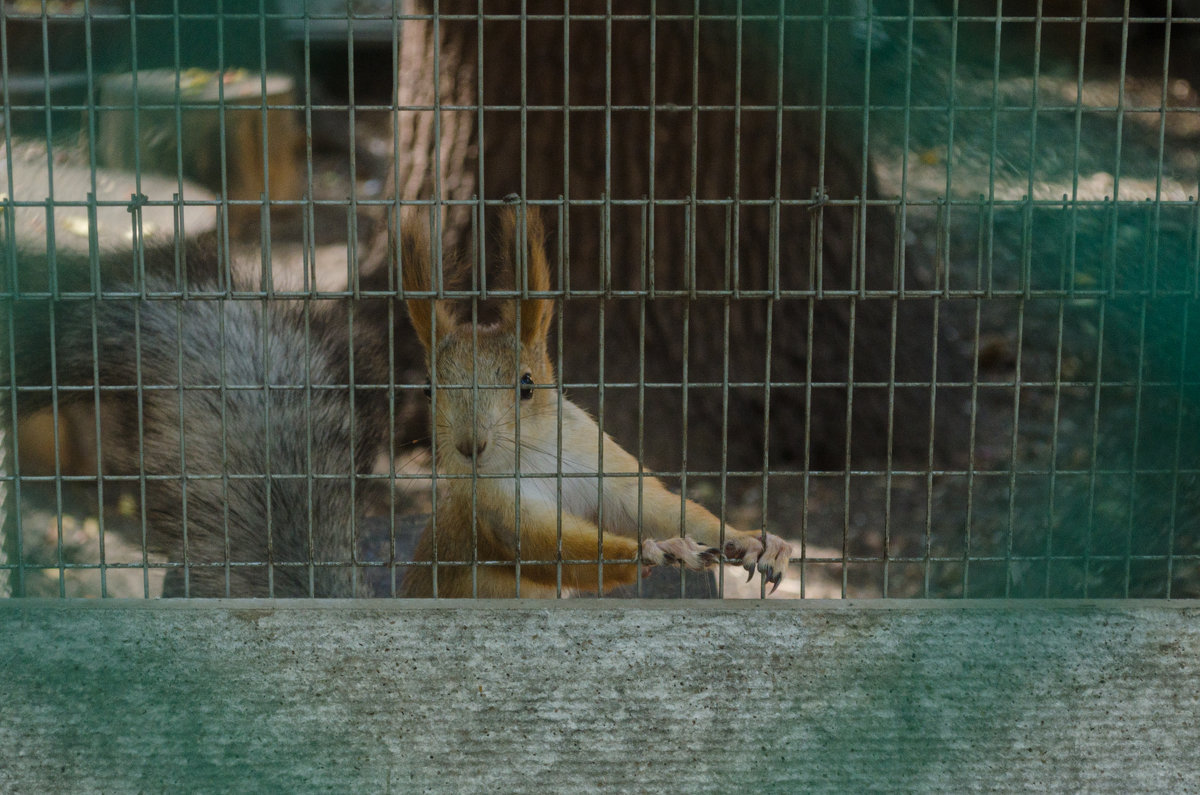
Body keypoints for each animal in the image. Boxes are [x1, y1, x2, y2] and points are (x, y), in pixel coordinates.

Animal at [400, 206, 796, 598]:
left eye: (527, 385)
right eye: (428, 389)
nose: (470, 446)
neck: (529, 453)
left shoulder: (597, 459)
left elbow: (648, 506)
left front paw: (750, 540)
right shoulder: (492, 508)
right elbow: (553, 546)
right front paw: (657, 550)